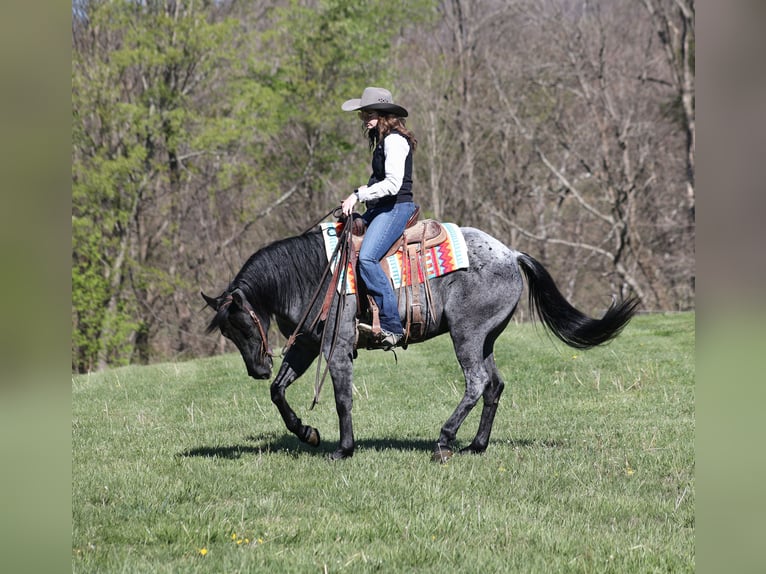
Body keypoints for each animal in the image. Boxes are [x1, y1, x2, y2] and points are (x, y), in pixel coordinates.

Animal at [202, 220, 639, 462]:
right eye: (227, 331)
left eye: (243, 324)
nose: (257, 369)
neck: (315, 273)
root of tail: (511, 254)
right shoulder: (308, 343)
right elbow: (279, 391)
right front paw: (307, 432)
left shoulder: (336, 347)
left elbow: (343, 398)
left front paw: (344, 448)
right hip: (486, 339)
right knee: (494, 385)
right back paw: (475, 446)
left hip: (467, 335)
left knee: (477, 383)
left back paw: (444, 440)